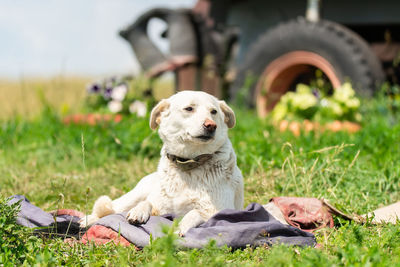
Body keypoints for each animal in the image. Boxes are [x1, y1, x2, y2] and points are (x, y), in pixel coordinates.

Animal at [80, 91, 244, 236]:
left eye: (213, 111)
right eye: (189, 108)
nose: (211, 125)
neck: (188, 164)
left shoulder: (218, 210)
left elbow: (194, 212)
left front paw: (181, 226)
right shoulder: (159, 207)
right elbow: (148, 202)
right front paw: (138, 212)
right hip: (133, 196)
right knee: (111, 209)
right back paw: (87, 220)